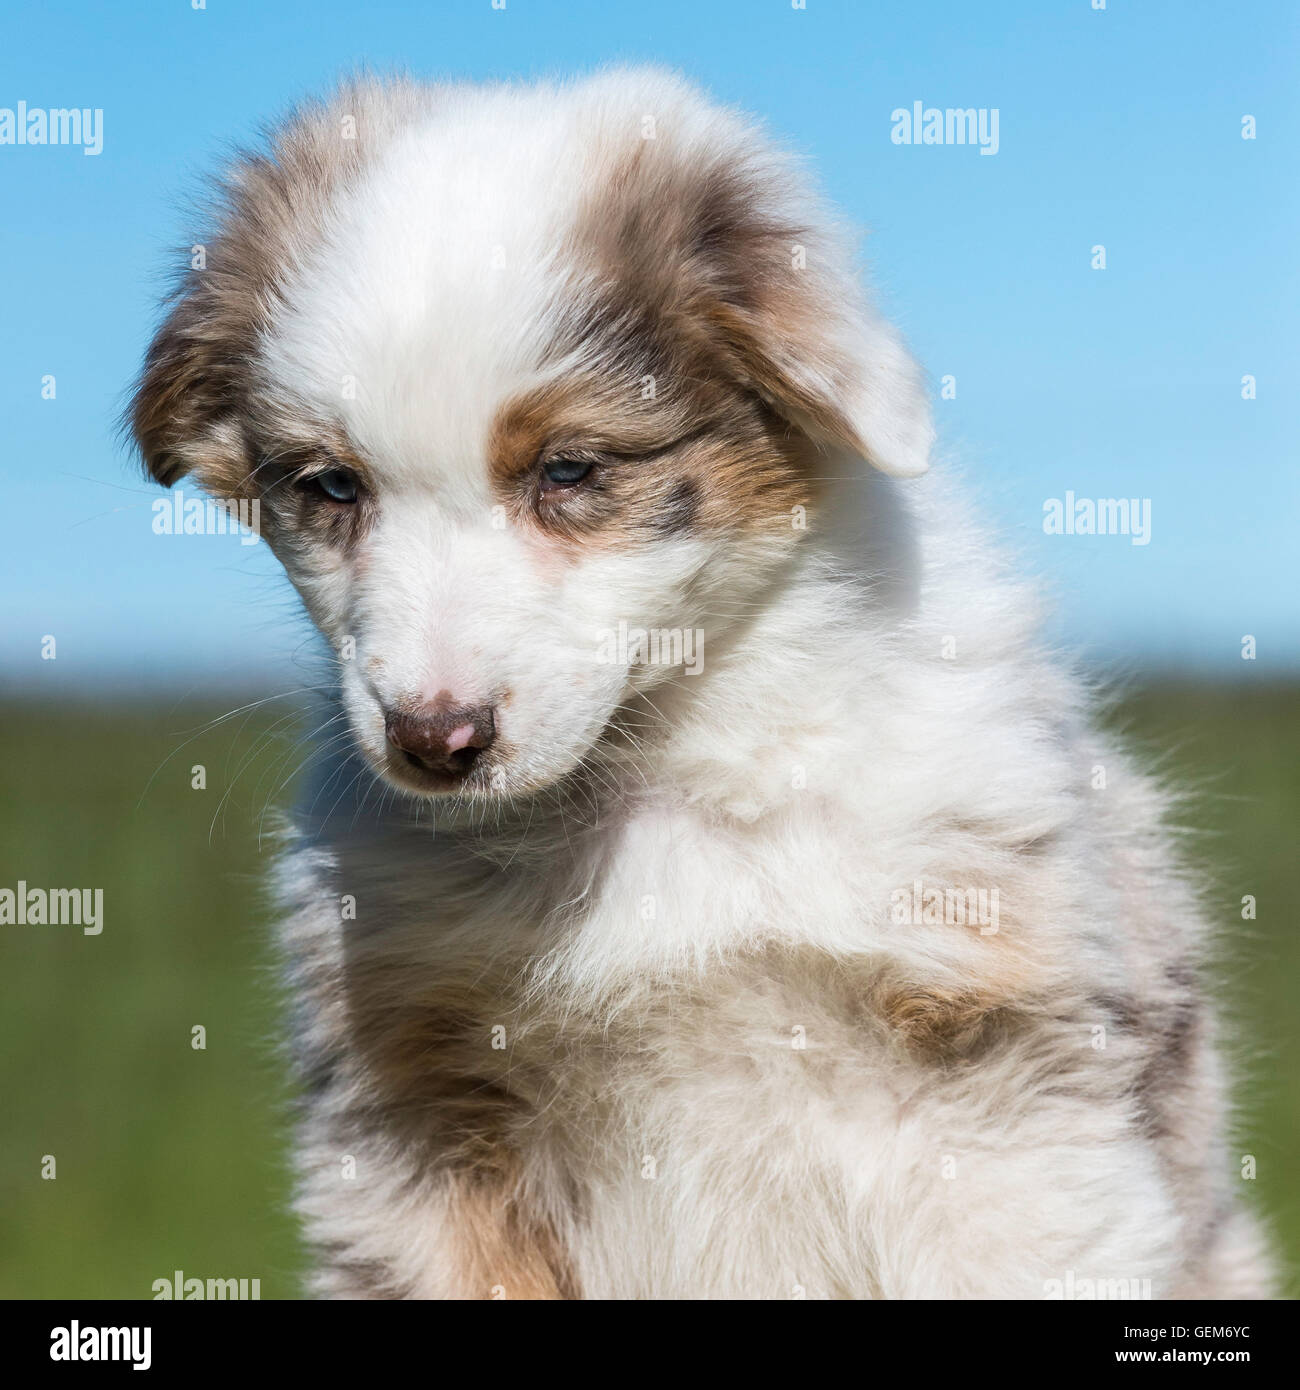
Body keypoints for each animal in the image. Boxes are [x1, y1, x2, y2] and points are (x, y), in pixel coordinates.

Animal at [129, 67, 1273, 1301]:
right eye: (332, 487)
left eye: (569, 470)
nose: (436, 739)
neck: (660, 770)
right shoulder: (414, 1115)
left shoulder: (999, 1082)